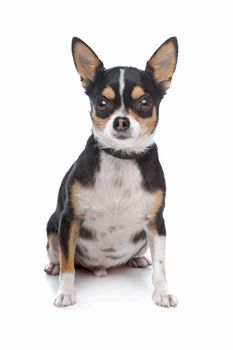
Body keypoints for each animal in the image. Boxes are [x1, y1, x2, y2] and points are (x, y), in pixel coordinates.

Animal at [44, 37, 178, 308]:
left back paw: (137, 260)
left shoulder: (156, 224)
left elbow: (161, 265)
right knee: (60, 255)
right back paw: (53, 266)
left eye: (145, 102)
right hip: (53, 225)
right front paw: (66, 292)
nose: (121, 121)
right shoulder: (70, 219)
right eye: (102, 104)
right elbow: (67, 263)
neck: (121, 158)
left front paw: (162, 292)